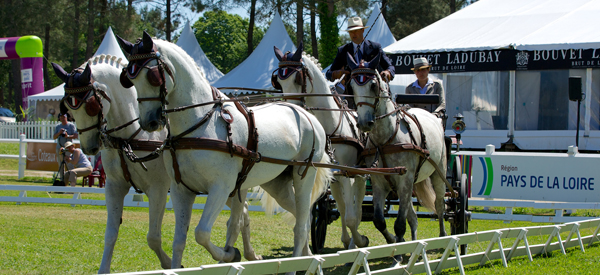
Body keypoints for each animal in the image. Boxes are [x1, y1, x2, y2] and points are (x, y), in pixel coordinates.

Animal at [53, 55, 262, 272]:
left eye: (91, 105)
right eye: (67, 106)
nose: (90, 147)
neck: (131, 135)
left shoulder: (158, 189)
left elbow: (153, 237)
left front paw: (169, 263)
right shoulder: (114, 186)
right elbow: (110, 234)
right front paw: (103, 270)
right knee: (244, 212)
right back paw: (247, 254)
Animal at [116, 31, 332, 268]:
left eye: (153, 75)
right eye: (129, 79)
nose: (150, 122)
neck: (200, 123)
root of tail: (306, 114)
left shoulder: (221, 187)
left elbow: (201, 233)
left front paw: (230, 254)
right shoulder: (182, 190)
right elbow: (179, 241)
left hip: (304, 176)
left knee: (302, 223)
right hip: (277, 184)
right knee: (303, 217)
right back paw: (308, 257)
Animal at [274, 42, 368, 250]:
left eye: (298, 78)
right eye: (279, 83)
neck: (330, 127)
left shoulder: (347, 172)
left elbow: (351, 216)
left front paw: (360, 240)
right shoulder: (325, 173)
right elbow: (315, 212)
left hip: (359, 173)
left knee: (356, 206)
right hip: (336, 179)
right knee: (342, 205)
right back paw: (347, 240)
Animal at [344, 54, 448, 246]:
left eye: (373, 85)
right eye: (351, 86)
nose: (364, 123)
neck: (385, 140)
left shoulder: (405, 180)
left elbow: (399, 224)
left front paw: (398, 247)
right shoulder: (379, 182)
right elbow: (379, 220)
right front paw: (393, 241)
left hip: (438, 173)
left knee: (439, 204)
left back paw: (444, 236)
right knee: (412, 216)